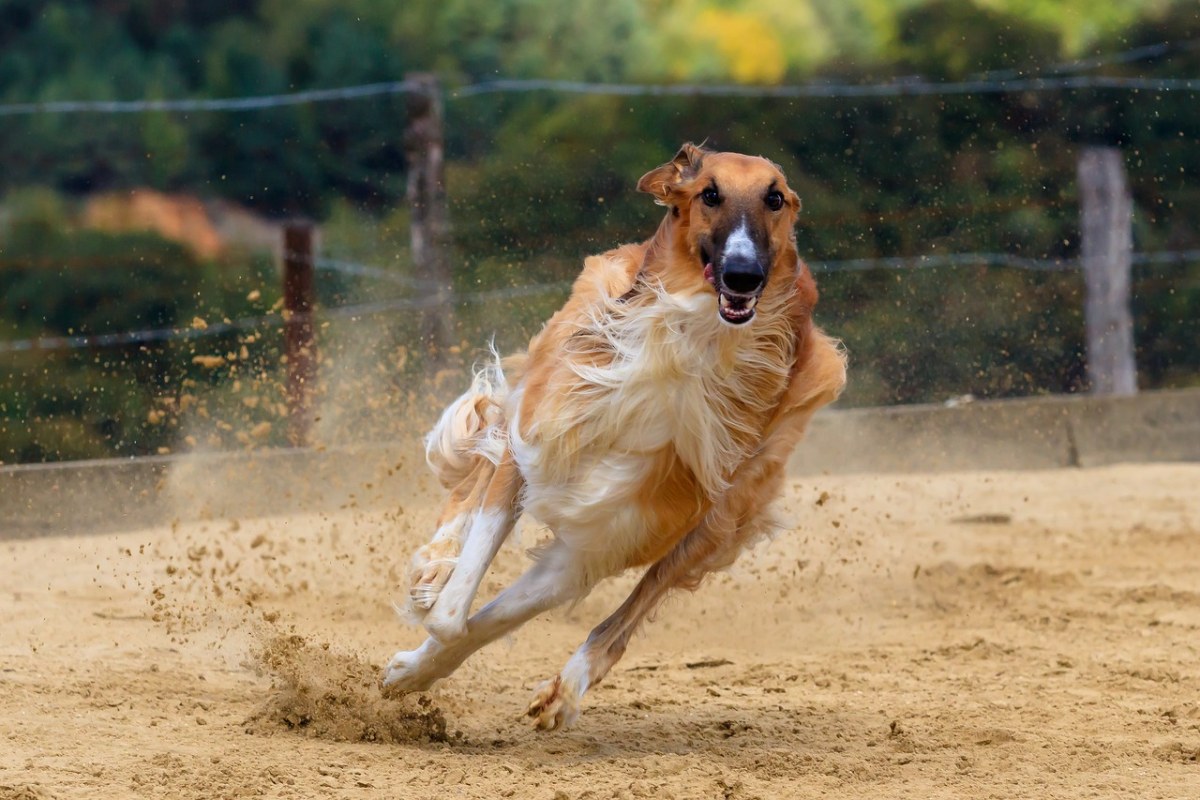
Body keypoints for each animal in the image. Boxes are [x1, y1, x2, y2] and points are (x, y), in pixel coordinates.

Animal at [384, 143, 844, 734]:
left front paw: (415, 670)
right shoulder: (538, 438)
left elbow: (472, 621)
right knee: (480, 462)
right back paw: (434, 564)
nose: (743, 276)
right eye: (709, 194)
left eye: (776, 199)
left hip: (715, 523)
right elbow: (451, 610)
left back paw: (562, 686)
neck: (686, 342)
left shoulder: (604, 535)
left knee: (628, 611)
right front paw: (426, 609)